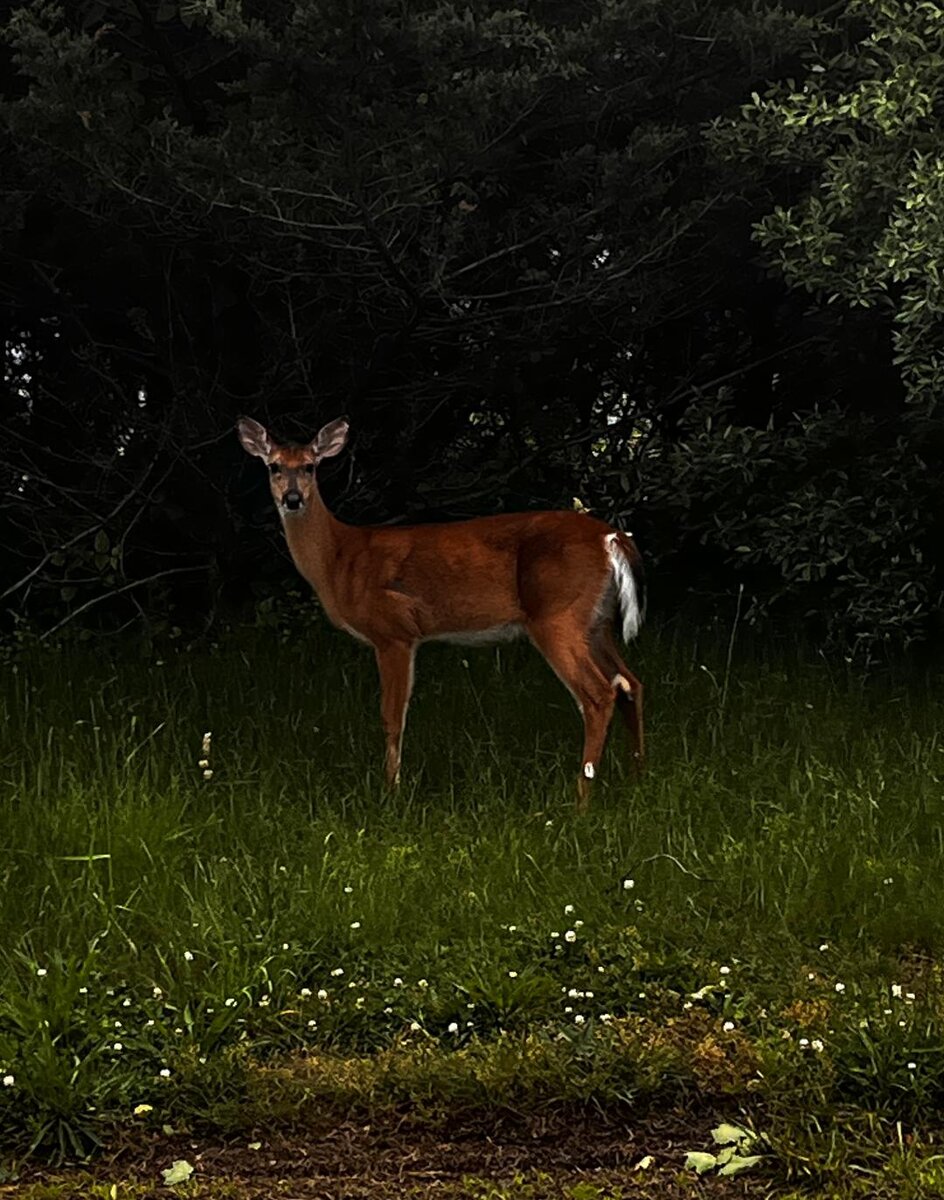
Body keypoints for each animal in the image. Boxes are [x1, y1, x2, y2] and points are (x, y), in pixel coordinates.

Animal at [237, 416, 645, 809]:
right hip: (596, 622)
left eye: (310, 467)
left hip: (558, 614)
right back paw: (635, 777)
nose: (292, 499)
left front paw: (391, 792)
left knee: (599, 693)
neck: (339, 560)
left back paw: (582, 800)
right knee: (630, 682)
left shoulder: (394, 631)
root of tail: (610, 538)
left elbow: (392, 715)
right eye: (274, 467)